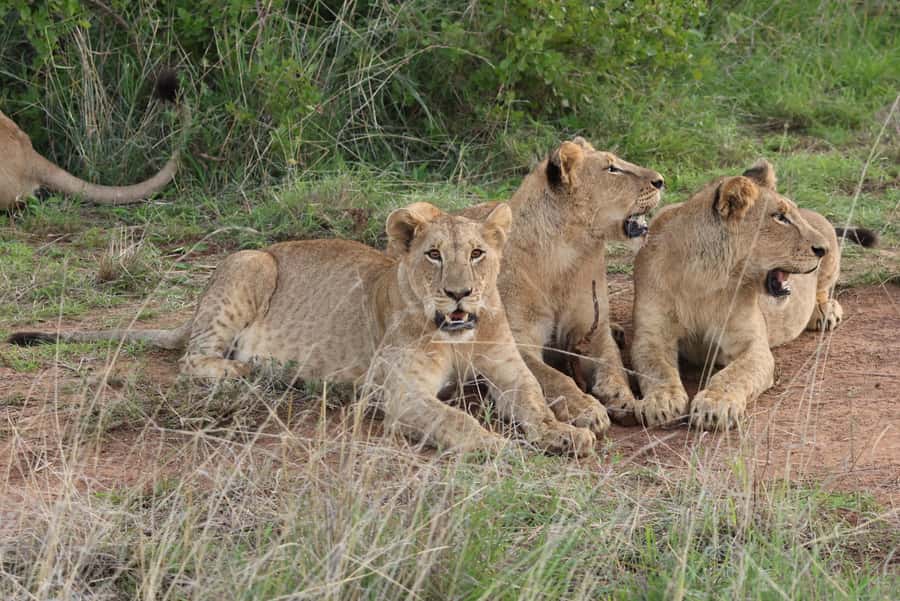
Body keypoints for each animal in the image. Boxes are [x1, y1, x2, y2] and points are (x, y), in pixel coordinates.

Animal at [9, 202, 595, 455]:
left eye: (476, 254)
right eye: (433, 255)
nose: (458, 294)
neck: (459, 333)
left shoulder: (508, 372)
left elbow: (536, 400)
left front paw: (565, 433)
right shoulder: (394, 390)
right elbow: (453, 418)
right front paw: (494, 447)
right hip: (251, 263)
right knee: (193, 357)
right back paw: (248, 372)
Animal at [459, 137, 664, 435]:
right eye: (612, 168)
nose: (662, 181)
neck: (569, 255)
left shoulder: (593, 329)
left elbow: (612, 365)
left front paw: (621, 397)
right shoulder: (515, 341)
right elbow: (554, 378)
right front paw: (587, 409)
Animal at [628, 160, 877, 430]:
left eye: (789, 215)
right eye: (780, 217)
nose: (824, 249)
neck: (704, 279)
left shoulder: (753, 346)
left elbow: (732, 376)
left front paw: (715, 405)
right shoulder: (651, 337)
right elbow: (657, 369)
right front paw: (660, 401)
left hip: (829, 255)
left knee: (823, 290)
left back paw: (825, 311)